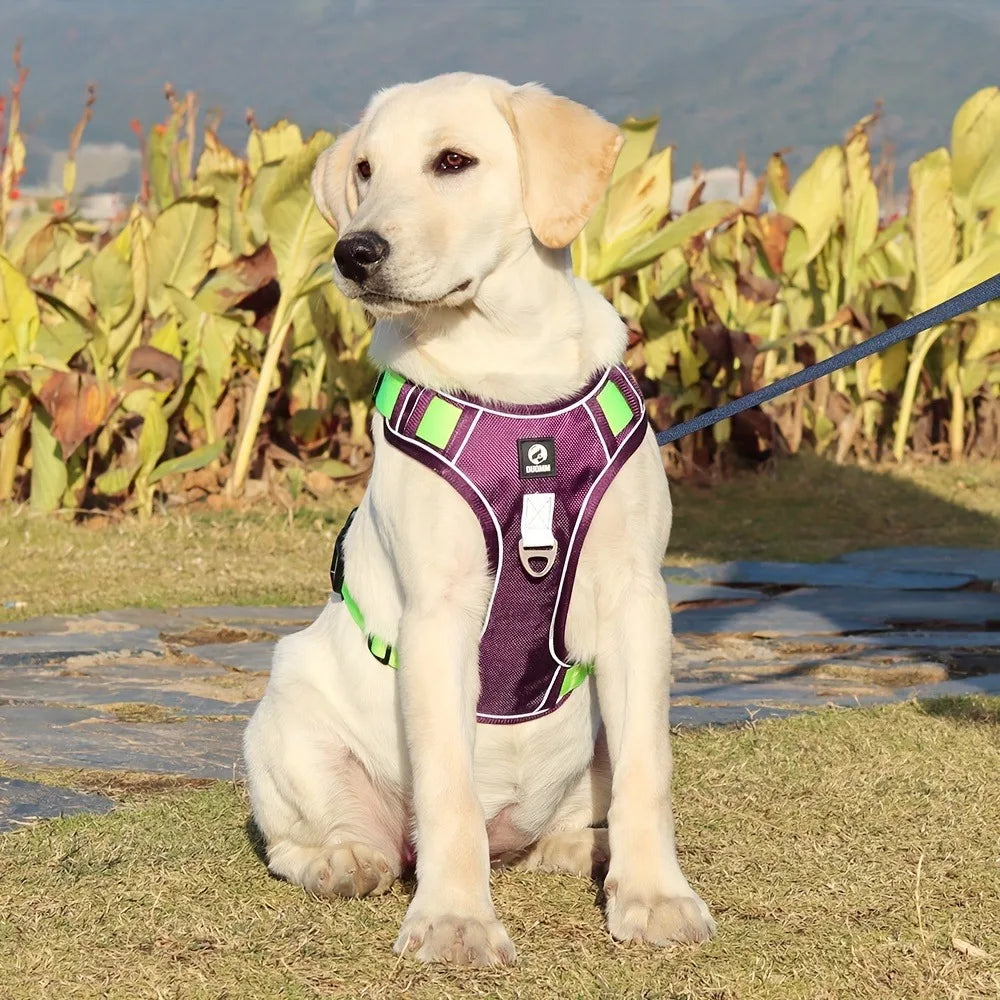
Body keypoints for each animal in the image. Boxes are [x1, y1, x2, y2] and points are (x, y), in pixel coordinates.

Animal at [242, 72, 712, 968]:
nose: (352, 252)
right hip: (286, 720)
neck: (512, 366)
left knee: (570, 817)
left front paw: (653, 896)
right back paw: (344, 863)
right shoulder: (439, 615)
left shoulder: (637, 600)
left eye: (453, 162)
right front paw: (456, 919)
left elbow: (650, 771)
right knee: (322, 840)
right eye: (364, 169)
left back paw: (578, 849)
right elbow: (448, 787)